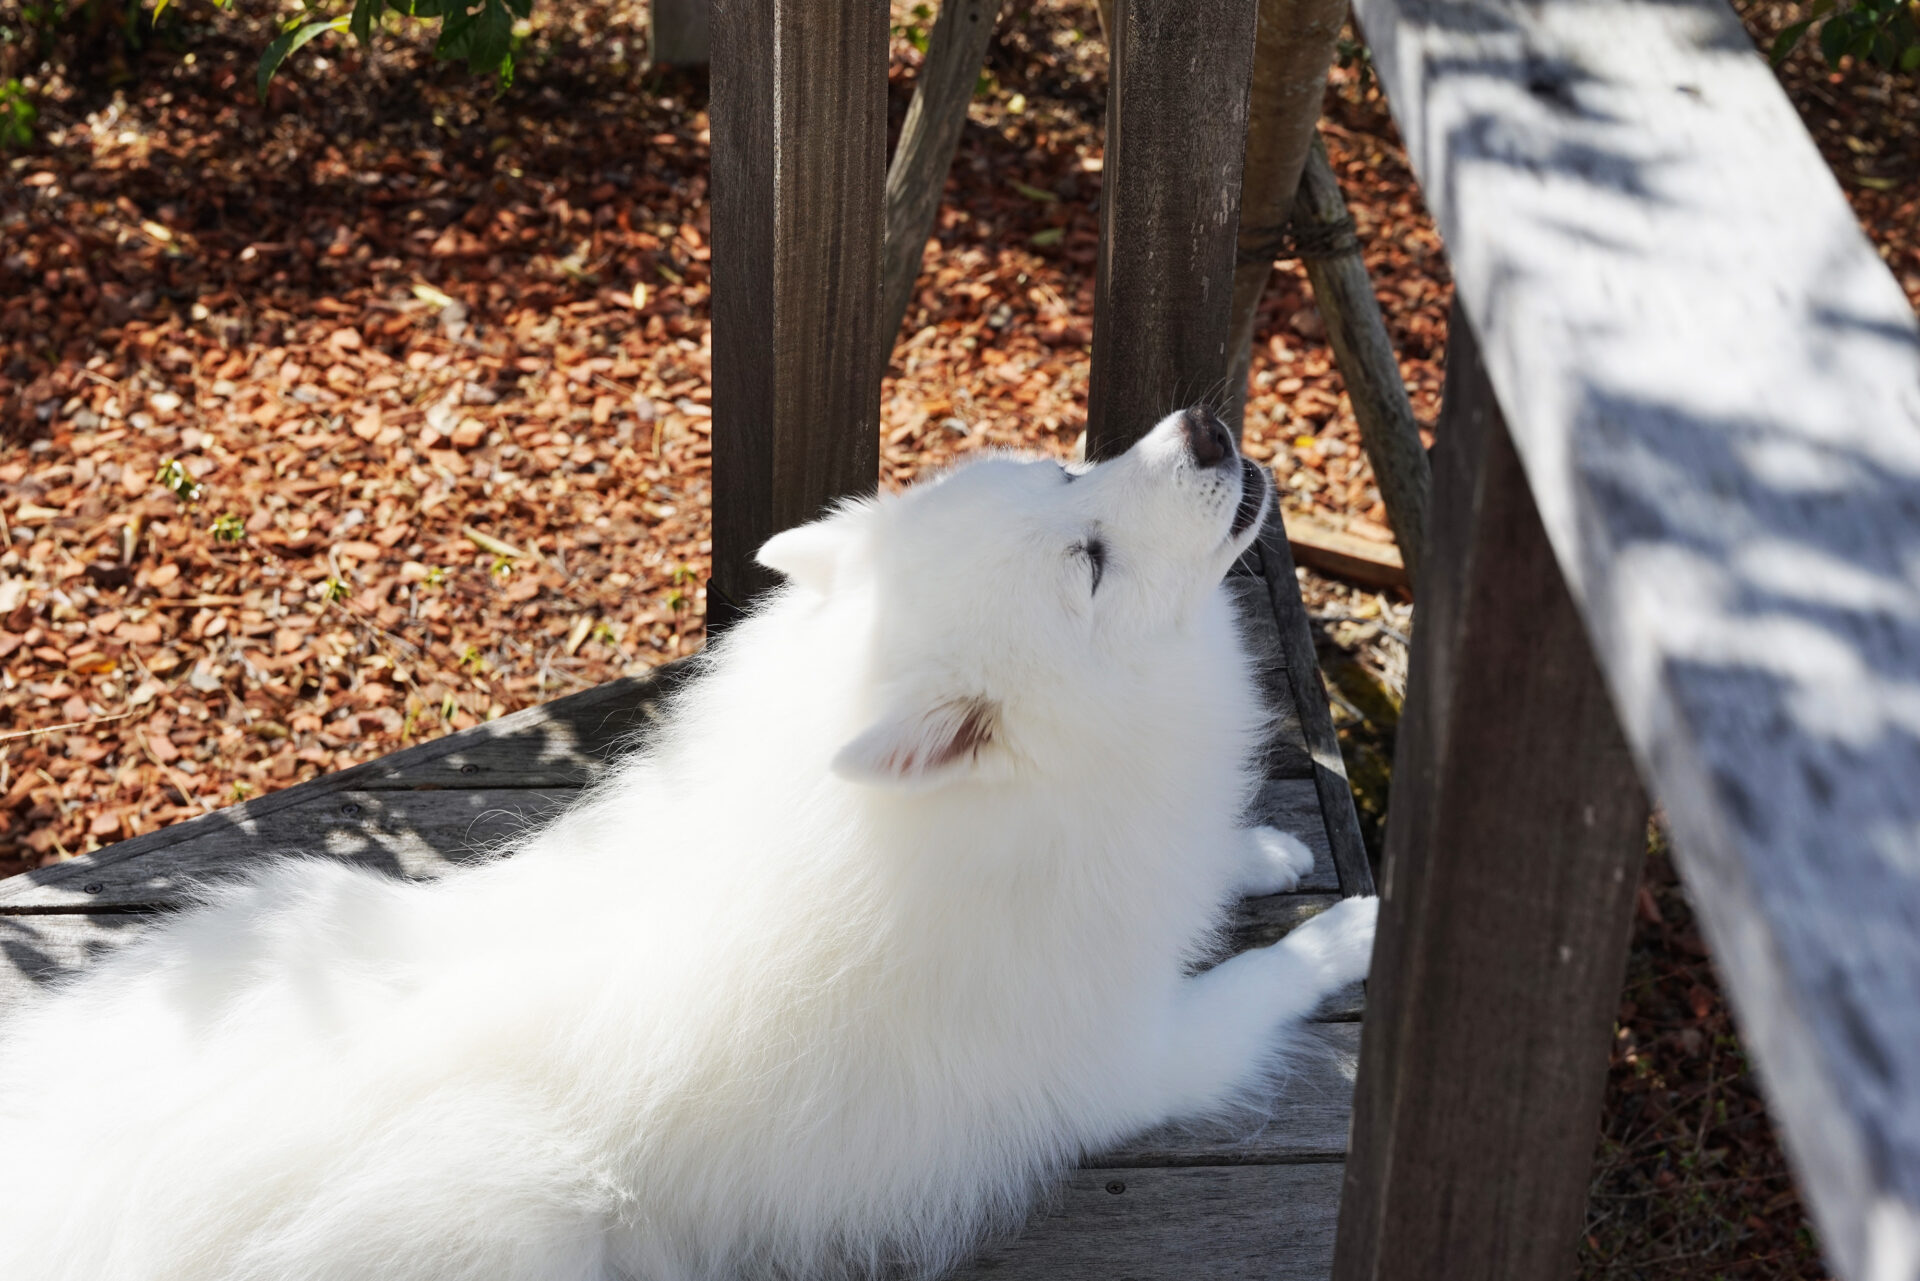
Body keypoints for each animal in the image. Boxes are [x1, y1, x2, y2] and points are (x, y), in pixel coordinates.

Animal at [0, 409, 1382, 1281]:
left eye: (1059, 471)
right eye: (1088, 557)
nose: (1204, 427)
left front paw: (1259, 856)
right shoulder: (1142, 1060)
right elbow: (1270, 976)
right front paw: (1359, 927)